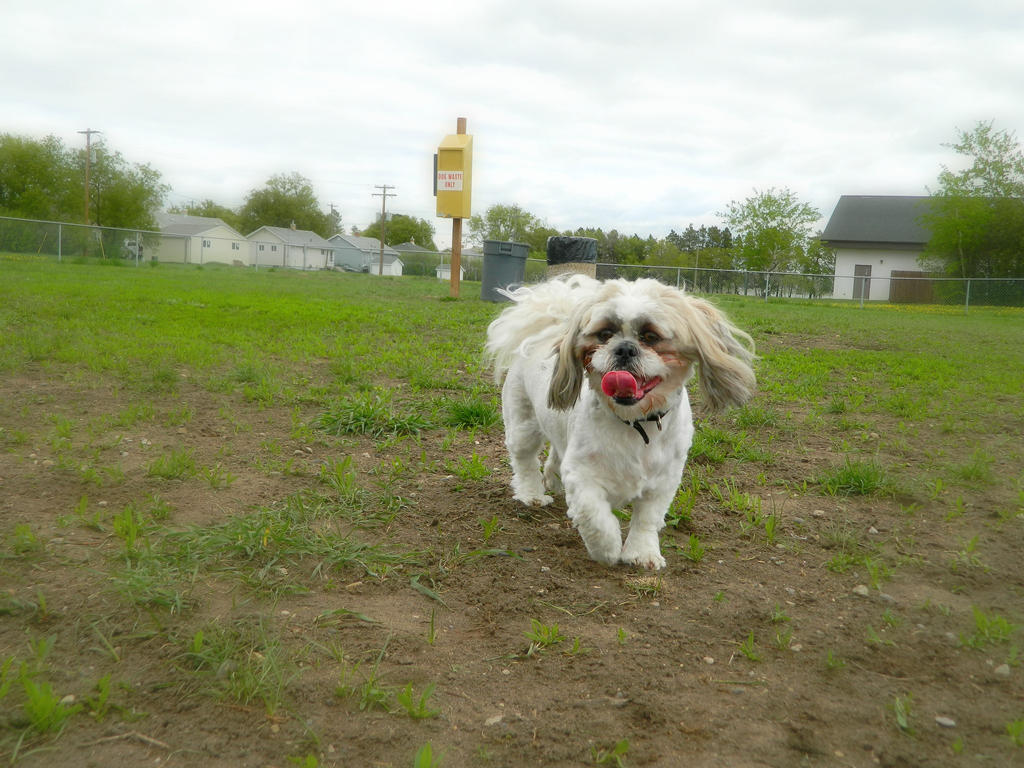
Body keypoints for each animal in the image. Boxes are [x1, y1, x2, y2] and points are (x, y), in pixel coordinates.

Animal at [483, 276, 757, 573]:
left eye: (651, 337)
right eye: (604, 334)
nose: (624, 348)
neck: (635, 422)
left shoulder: (664, 480)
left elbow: (647, 519)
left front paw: (642, 552)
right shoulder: (583, 475)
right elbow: (595, 518)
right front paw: (608, 550)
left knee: (555, 454)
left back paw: (552, 481)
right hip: (523, 423)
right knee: (524, 460)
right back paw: (532, 493)